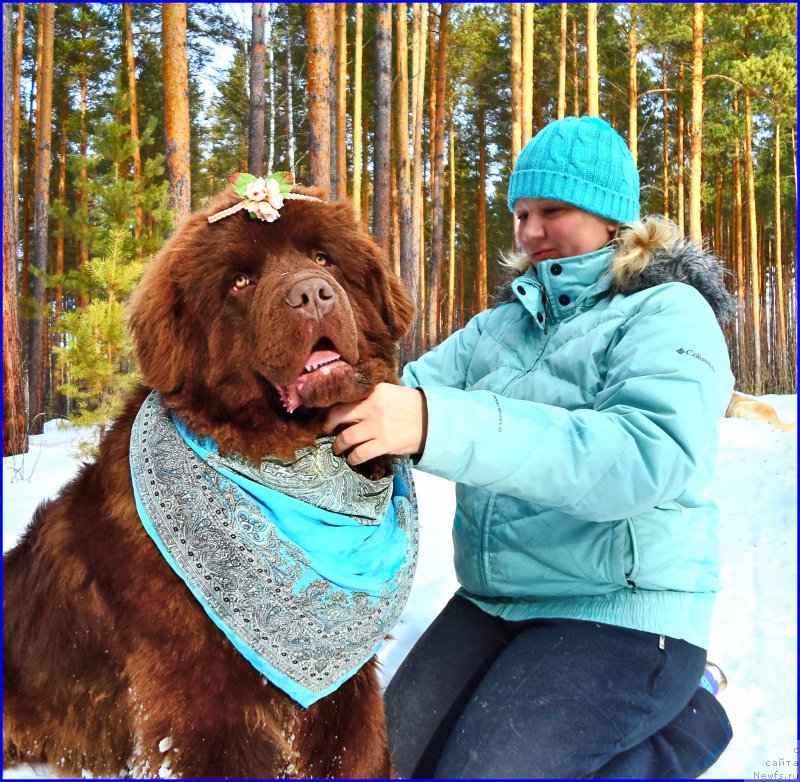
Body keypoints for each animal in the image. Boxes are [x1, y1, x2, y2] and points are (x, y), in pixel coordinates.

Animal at [4, 182, 418, 776]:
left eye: (324, 259)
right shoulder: (199, 702)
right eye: (240, 282)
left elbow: (357, 751)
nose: (314, 294)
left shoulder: (345, 692)